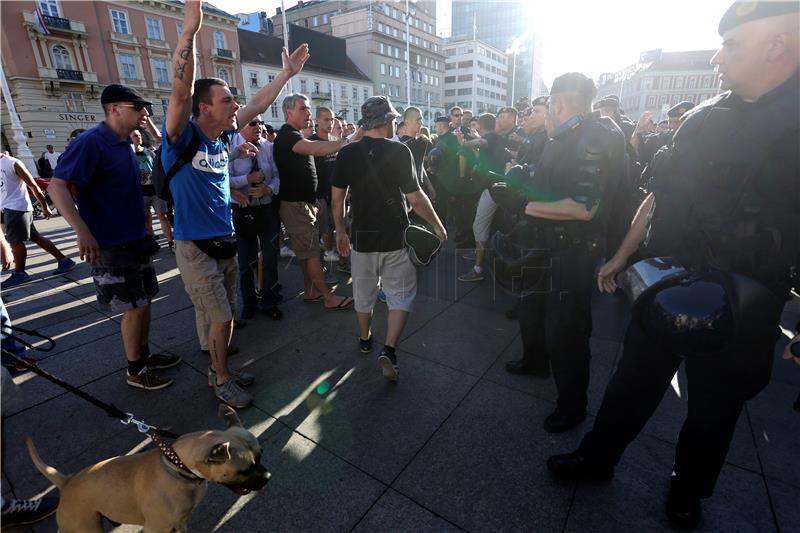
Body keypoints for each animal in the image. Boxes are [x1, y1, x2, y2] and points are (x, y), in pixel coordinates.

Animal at [25, 404, 272, 532]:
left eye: (261, 455)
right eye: (244, 470)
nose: (268, 476)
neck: (177, 466)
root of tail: (66, 481)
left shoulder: (181, 521)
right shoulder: (156, 527)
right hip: (85, 527)